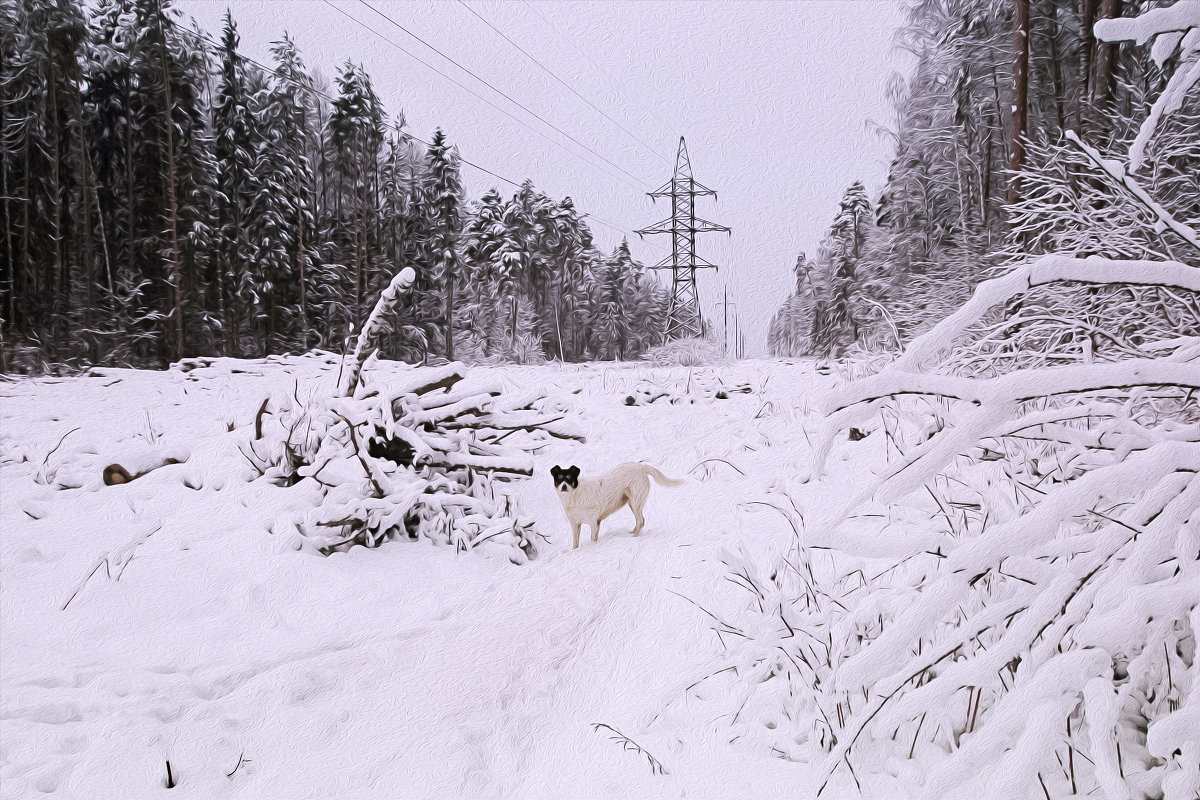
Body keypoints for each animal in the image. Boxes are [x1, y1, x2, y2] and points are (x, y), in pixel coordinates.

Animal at [549, 462, 686, 551]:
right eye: (559, 478)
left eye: (569, 478)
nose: (564, 486)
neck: (575, 496)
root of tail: (641, 466)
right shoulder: (575, 525)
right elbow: (575, 543)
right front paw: (575, 551)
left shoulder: (594, 523)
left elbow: (593, 539)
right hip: (631, 502)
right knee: (639, 521)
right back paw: (632, 532)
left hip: (636, 501)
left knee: (641, 521)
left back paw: (634, 538)